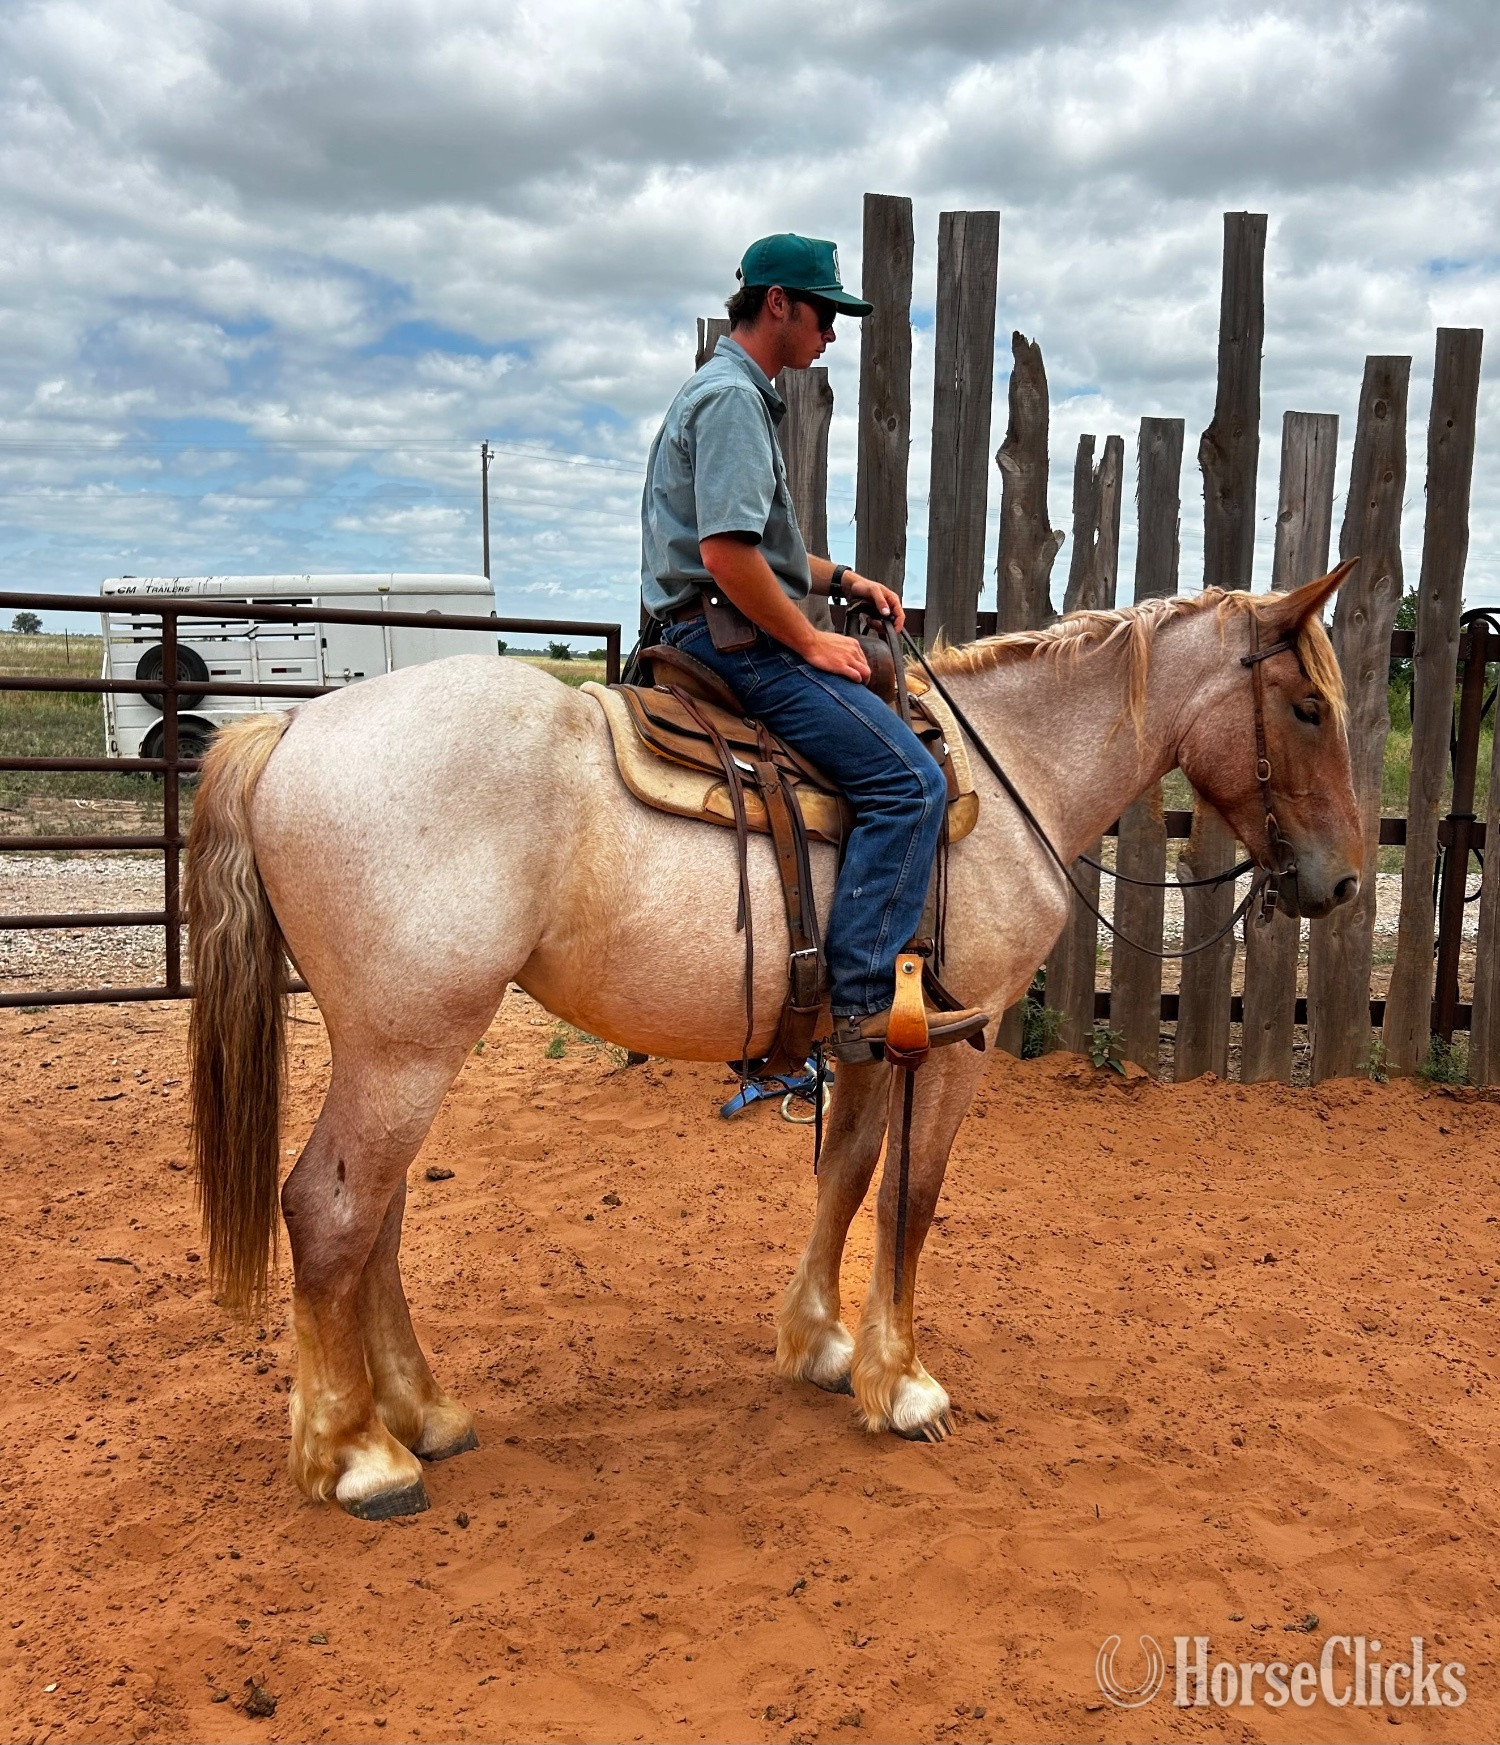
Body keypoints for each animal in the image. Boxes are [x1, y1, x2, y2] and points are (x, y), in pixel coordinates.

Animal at [185, 564, 1361, 1519]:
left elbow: (844, 1174)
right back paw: (358, 1456)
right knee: (331, 1210)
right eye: (1307, 707)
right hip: (406, 1045)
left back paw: (423, 1414)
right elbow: (909, 1200)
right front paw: (906, 1384)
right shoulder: (961, 1039)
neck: (1008, 773)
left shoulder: (876, 1038)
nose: (1345, 881)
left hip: (398, 1049)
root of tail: (287, 734)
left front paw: (825, 1345)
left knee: (374, 1219)